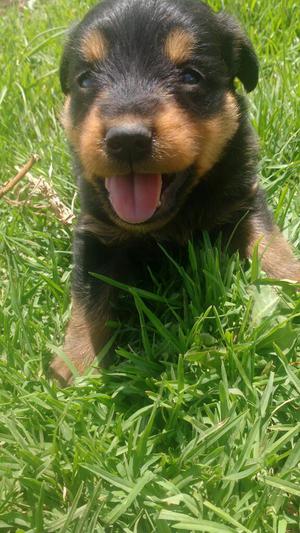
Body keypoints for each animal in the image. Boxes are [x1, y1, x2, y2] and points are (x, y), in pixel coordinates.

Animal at [50, 0, 298, 382]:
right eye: (85, 79)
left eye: (191, 76)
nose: (127, 139)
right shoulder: (95, 229)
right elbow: (87, 297)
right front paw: (75, 366)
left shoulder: (242, 198)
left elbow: (271, 244)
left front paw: (292, 281)